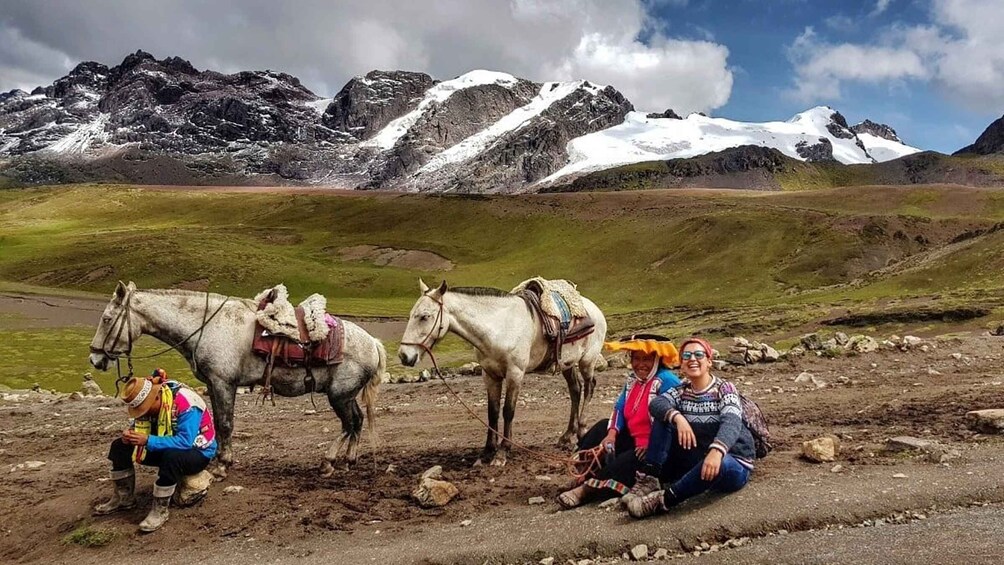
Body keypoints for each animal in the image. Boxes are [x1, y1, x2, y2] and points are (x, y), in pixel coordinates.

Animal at [87, 283, 383, 477]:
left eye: (107, 318)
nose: (95, 359)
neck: (207, 326)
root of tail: (374, 343)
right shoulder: (212, 384)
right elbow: (219, 423)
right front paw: (220, 460)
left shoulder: (223, 383)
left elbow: (226, 424)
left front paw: (222, 466)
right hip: (346, 395)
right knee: (357, 422)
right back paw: (348, 461)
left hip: (339, 395)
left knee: (349, 423)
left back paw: (328, 462)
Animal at [397, 278, 602, 469]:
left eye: (424, 316)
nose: (404, 356)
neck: (500, 328)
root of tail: (595, 310)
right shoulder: (490, 375)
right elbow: (493, 412)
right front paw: (487, 452)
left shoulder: (515, 374)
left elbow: (508, 411)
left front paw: (502, 453)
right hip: (567, 364)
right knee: (575, 390)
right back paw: (567, 436)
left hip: (587, 361)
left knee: (589, 387)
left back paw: (582, 431)